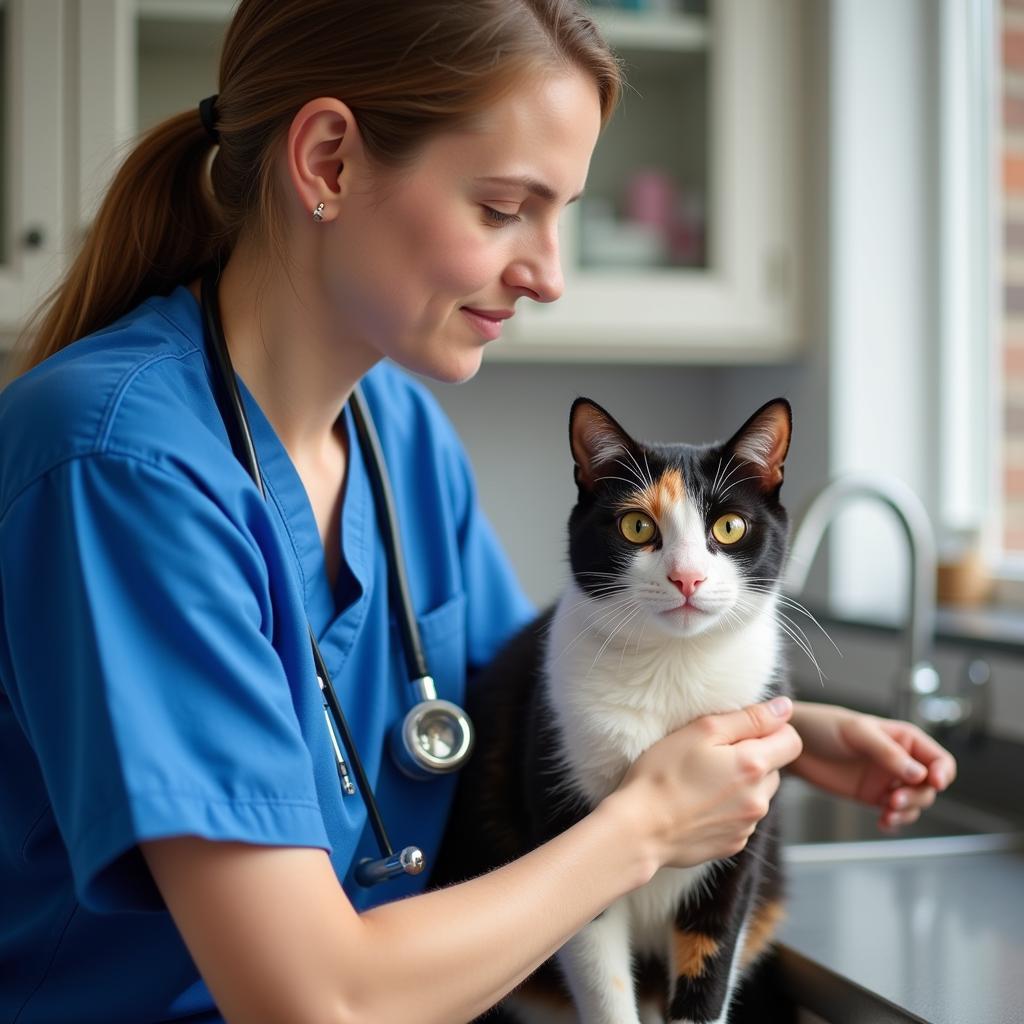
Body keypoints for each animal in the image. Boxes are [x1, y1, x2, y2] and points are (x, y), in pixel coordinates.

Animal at [428, 395, 794, 1024]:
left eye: (729, 526)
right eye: (637, 525)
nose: (687, 577)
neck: (674, 666)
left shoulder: (742, 849)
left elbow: (711, 957)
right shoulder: (566, 804)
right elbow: (601, 974)